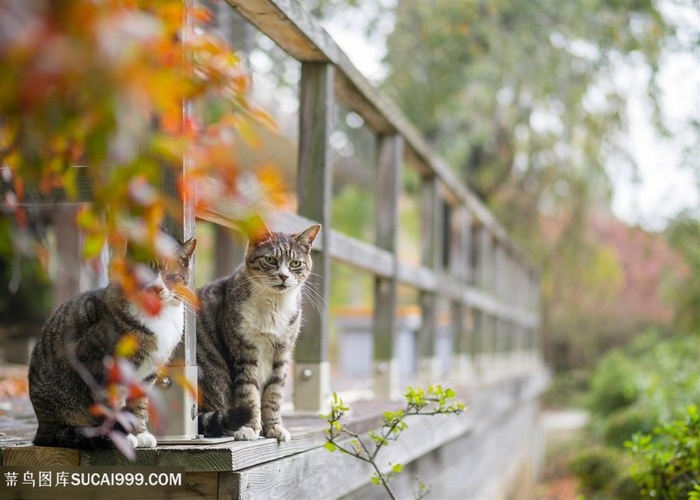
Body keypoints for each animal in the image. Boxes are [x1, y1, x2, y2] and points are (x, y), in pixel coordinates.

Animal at [28, 234, 196, 450]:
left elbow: (138, 404)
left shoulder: (146, 375)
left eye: (171, 276)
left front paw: (140, 433)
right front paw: (121, 437)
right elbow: (110, 404)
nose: (157, 288)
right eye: (146, 273)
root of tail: (41, 429)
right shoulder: (99, 365)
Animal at [194, 224, 320, 442]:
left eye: (295, 263)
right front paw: (249, 428)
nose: (284, 276)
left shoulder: (282, 352)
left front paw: (274, 427)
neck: (273, 305)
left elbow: (274, 394)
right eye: (270, 260)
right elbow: (249, 393)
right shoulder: (243, 352)